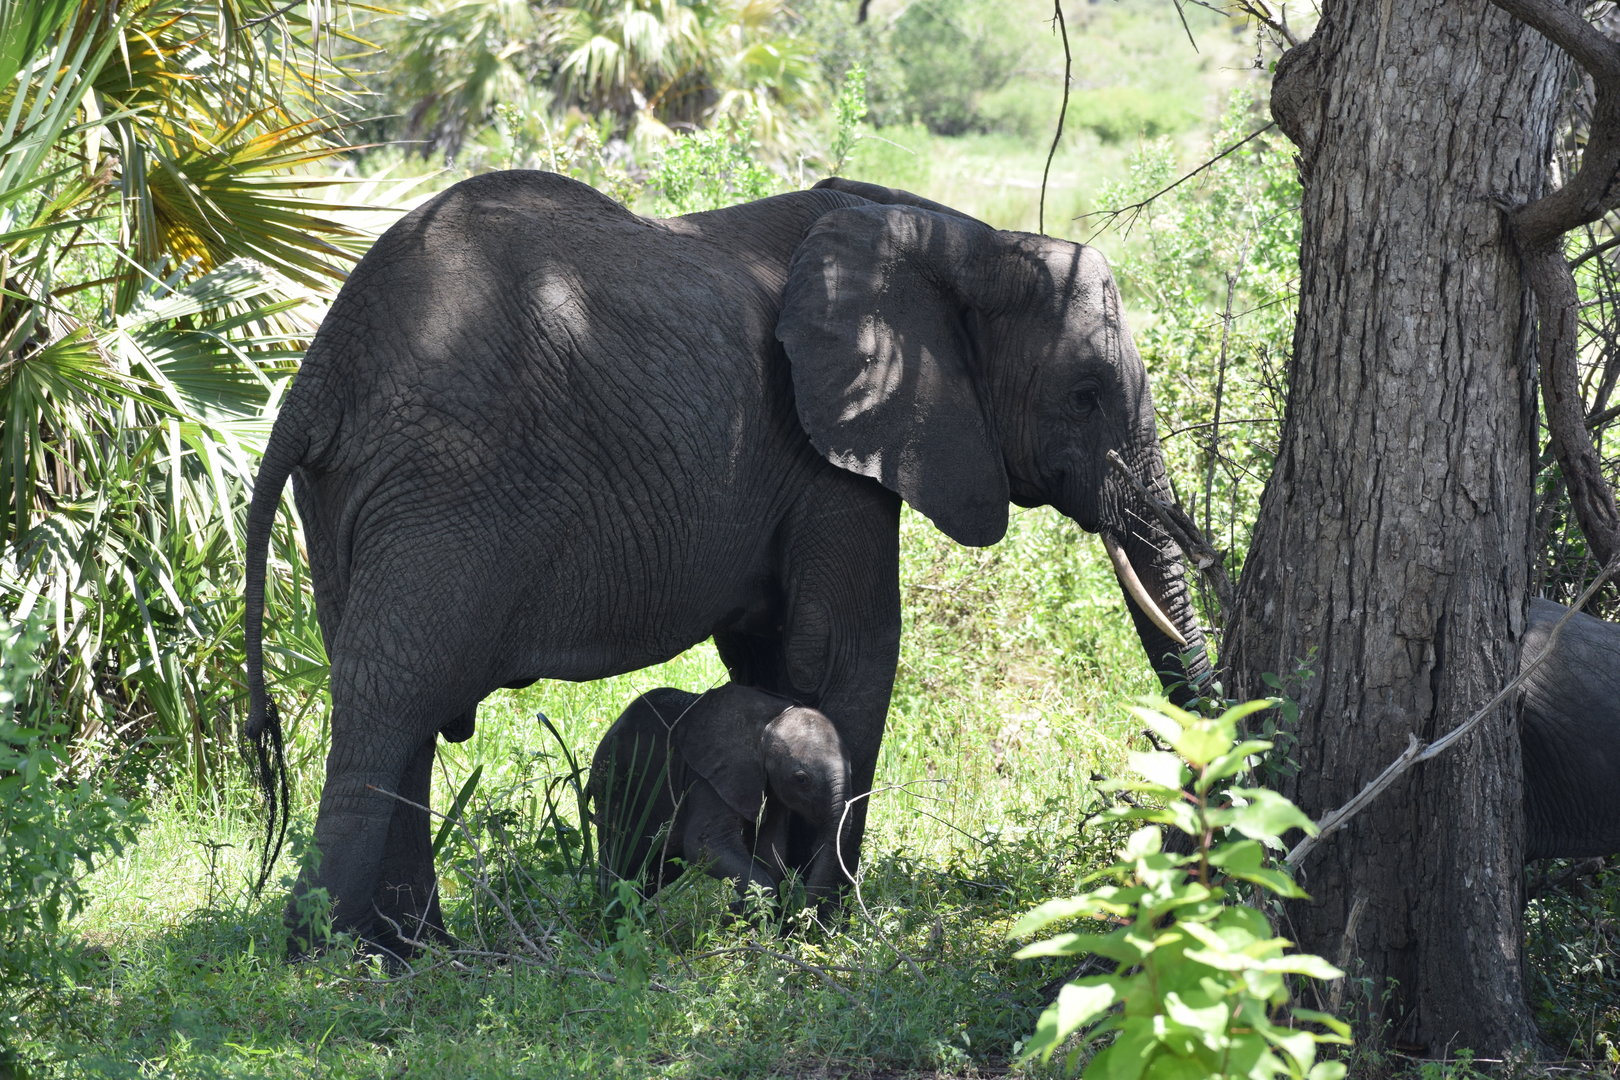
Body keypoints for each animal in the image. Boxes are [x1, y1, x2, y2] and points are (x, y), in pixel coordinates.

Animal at [589, 684, 852, 910]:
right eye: (801, 779)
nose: (803, 913)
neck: (770, 719)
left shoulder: (771, 788)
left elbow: (770, 847)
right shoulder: (709, 775)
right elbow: (705, 845)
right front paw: (743, 910)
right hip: (612, 784)